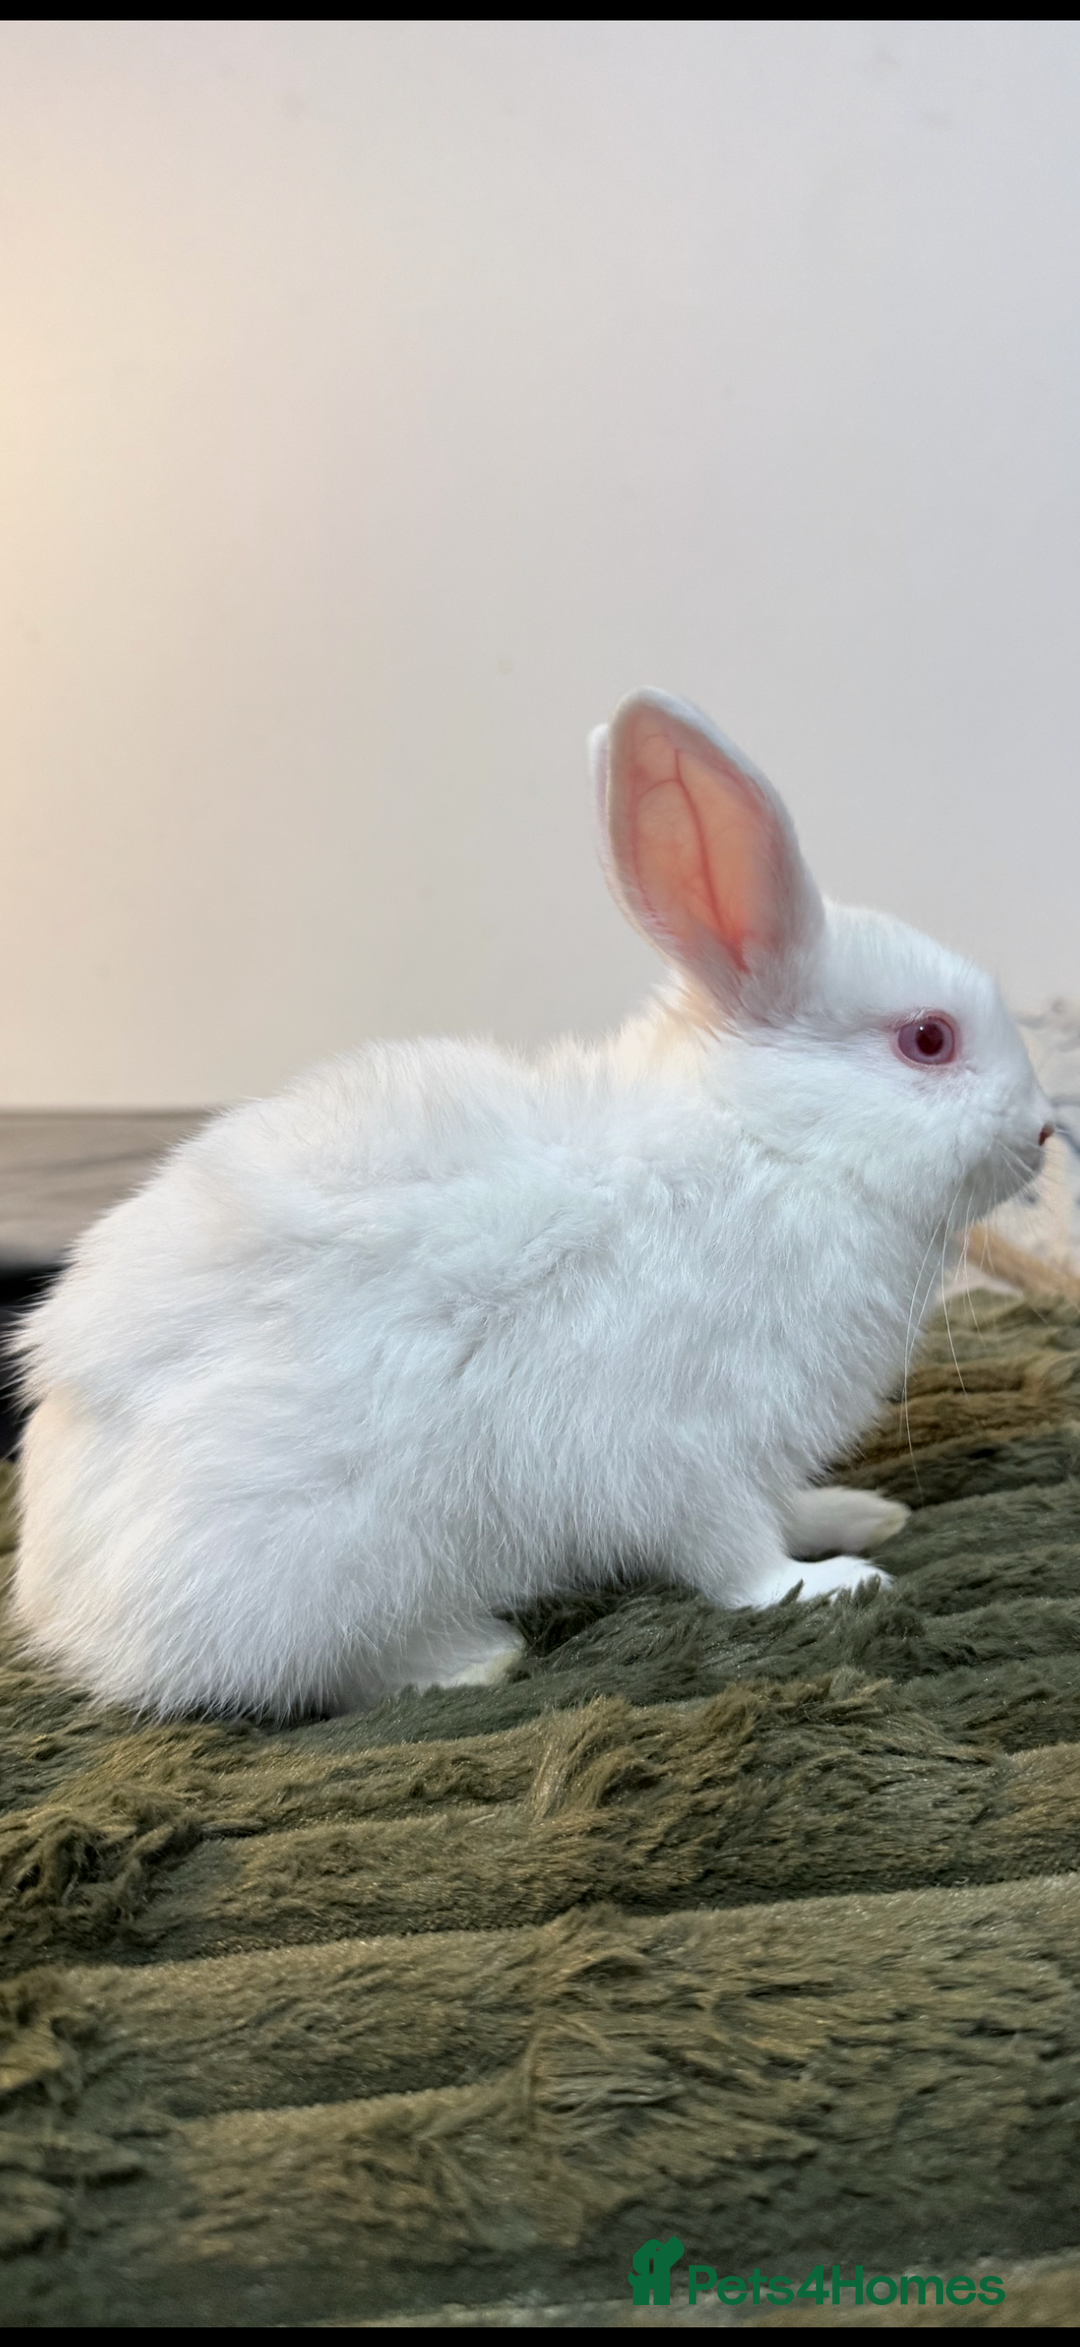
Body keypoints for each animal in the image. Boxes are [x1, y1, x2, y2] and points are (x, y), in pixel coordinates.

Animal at [12, 688, 1052, 1719]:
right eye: (928, 1039)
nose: (1045, 1130)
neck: (772, 1141)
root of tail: (65, 1609)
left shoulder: (752, 1448)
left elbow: (778, 1505)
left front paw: (858, 1518)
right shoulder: (679, 1442)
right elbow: (730, 1552)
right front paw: (831, 1583)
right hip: (324, 1556)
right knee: (308, 1673)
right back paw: (472, 1657)